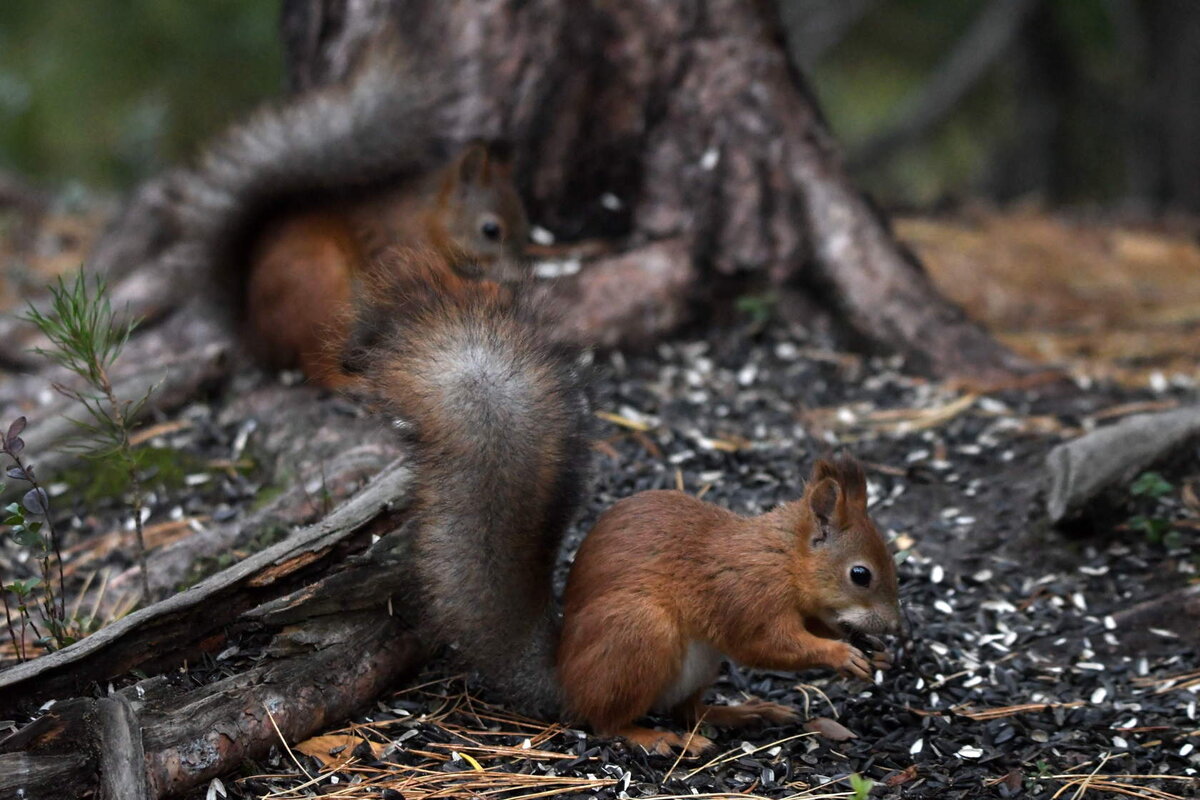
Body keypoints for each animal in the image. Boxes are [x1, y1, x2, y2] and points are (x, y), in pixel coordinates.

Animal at [556, 455, 897, 758]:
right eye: (860, 574)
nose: (894, 624)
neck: (784, 559)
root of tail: (565, 684)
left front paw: (875, 648)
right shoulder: (749, 596)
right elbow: (766, 645)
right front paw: (840, 654)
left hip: (699, 666)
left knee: (687, 712)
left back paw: (743, 713)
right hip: (638, 633)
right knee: (608, 722)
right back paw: (656, 737)